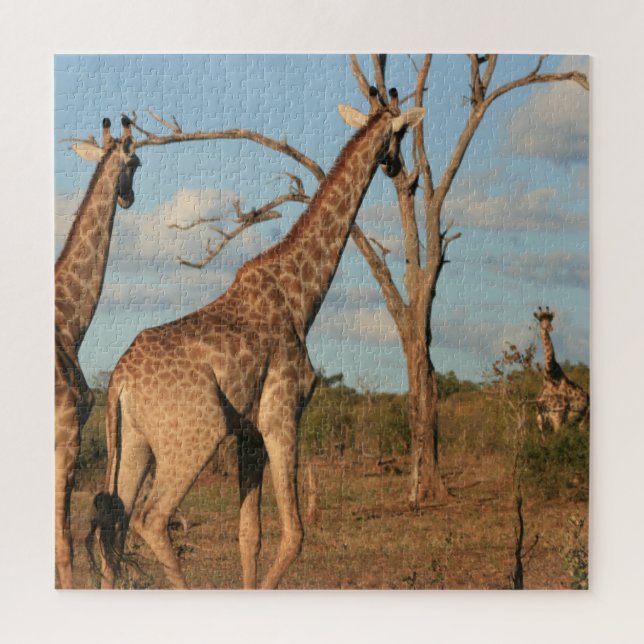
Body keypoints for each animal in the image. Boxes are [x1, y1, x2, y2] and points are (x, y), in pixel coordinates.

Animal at [87, 87, 425, 590]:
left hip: (134, 443)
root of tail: (119, 382)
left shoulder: (247, 431)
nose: (397, 167)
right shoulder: (281, 413)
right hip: (196, 436)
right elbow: (295, 534)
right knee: (151, 518)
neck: (301, 295)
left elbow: (250, 535)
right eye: (401, 133)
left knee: (118, 523)